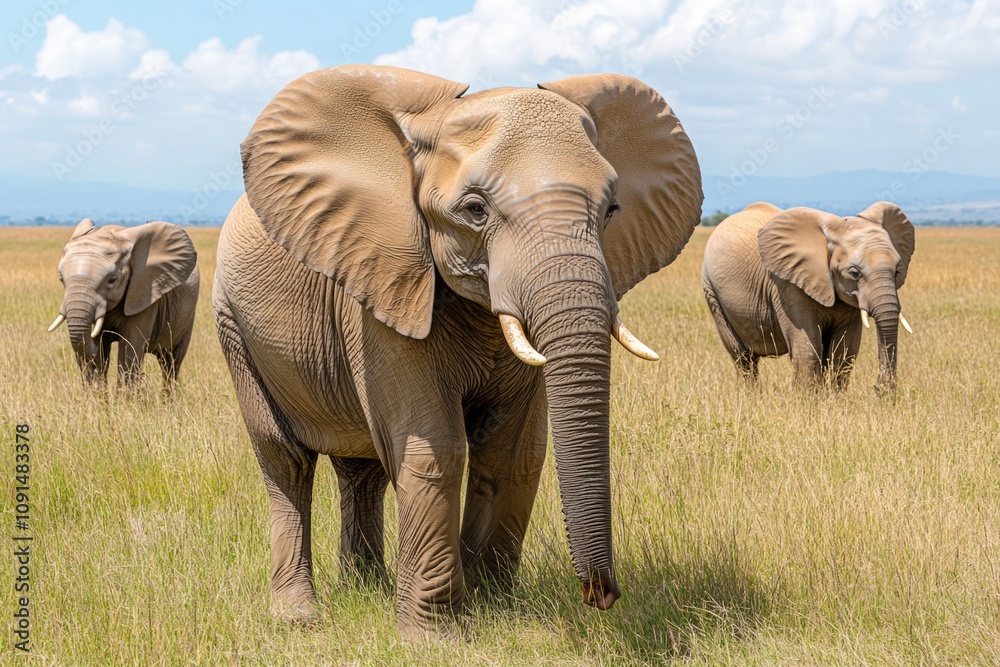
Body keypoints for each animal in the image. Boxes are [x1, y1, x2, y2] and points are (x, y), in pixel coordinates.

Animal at [48, 218, 200, 389]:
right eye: (61, 278)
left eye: (112, 280)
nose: (94, 339)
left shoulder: (144, 293)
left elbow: (129, 349)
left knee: (171, 362)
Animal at [213, 65, 702, 640]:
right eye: (474, 210)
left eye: (611, 210)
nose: (601, 595)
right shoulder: (384, 282)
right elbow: (437, 450)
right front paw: (435, 637)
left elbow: (514, 452)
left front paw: (492, 607)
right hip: (233, 324)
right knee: (285, 459)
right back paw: (299, 615)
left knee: (362, 468)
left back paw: (367, 589)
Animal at [701, 201, 915, 391]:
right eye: (855, 273)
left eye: (897, 270)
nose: (880, 390)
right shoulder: (787, 285)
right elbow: (807, 350)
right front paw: (807, 402)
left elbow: (843, 352)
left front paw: (834, 400)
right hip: (711, 291)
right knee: (742, 356)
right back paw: (752, 396)